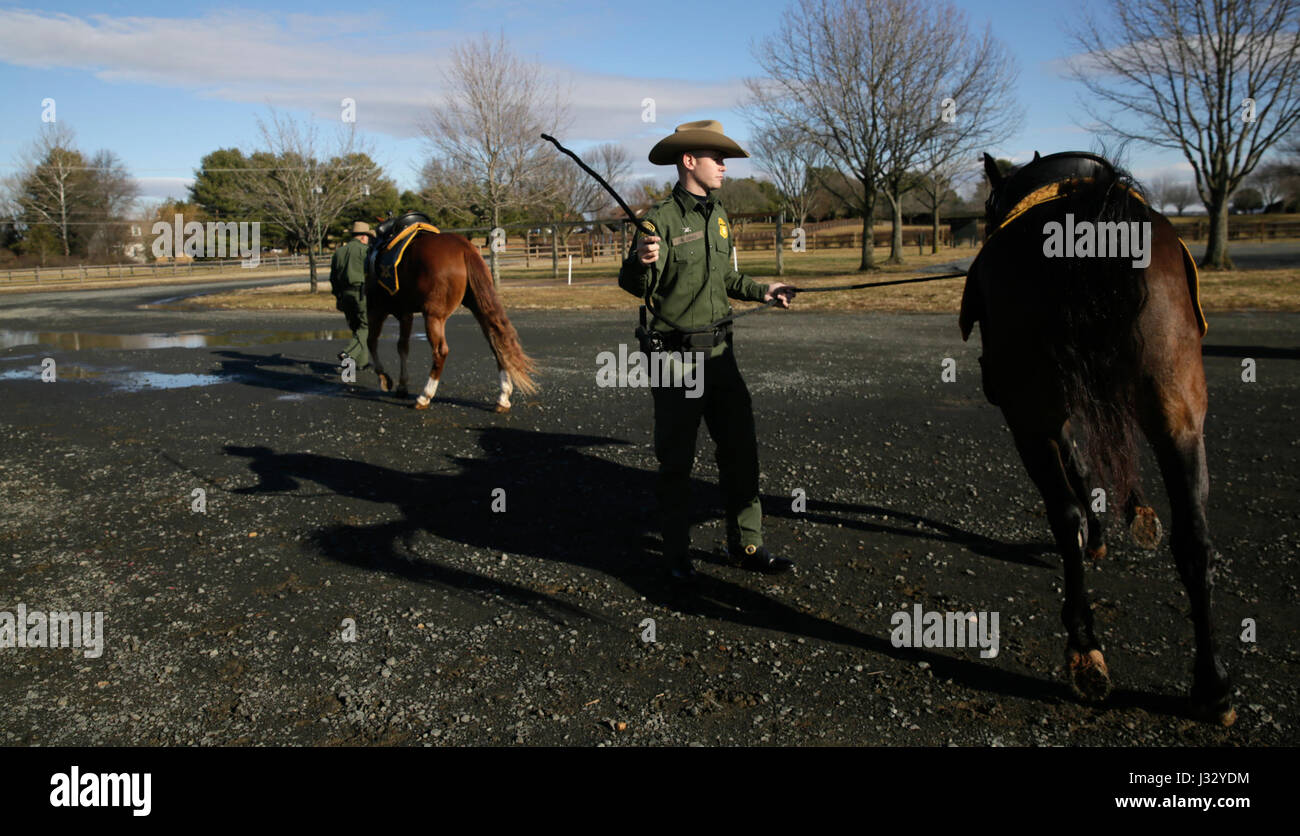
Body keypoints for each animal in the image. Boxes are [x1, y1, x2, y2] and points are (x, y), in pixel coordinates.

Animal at [364, 230, 535, 413]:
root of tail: (464, 248)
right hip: (478, 307)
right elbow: (402, 346)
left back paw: (424, 396)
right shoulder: (405, 314)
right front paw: (401, 386)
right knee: (497, 343)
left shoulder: (377, 310)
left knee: (440, 352)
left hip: (433, 317)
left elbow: (371, 342)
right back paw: (503, 397)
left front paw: (384, 378)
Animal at [961, 150, 1232, 728]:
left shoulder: (1048, 415)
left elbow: (1080, 469)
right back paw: (1210, 685)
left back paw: (1087, 646)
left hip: (1032, 416)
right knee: (1194, 541)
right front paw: (1116, 525)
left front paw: (1106, 527)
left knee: (1067, 516)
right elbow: (1086, 467)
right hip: (1177, 415)